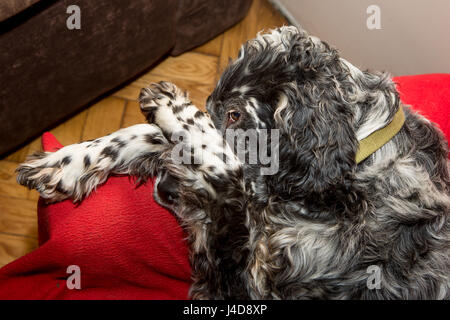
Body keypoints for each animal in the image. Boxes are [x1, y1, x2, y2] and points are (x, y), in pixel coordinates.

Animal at [15, 26, 448, 298]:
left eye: (237, 115)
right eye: (213, 104)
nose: (164, 191)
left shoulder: (244, 283)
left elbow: (228, 173)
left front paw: (175, 110)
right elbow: (158, 137)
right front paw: (68, 162)